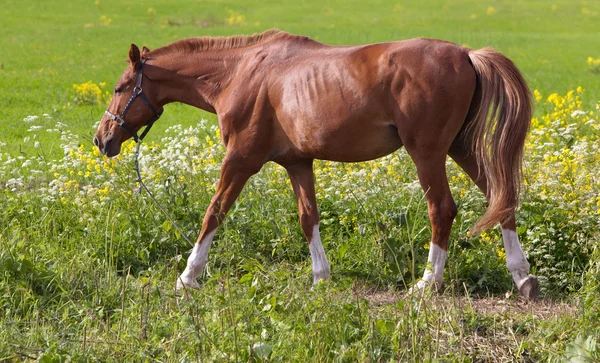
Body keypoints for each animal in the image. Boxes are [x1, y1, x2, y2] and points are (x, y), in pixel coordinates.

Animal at [95, 29, 540, 300]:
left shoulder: (240, 159)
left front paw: (188, 276)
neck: (241, 73)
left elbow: (214, 212)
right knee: (502, 198)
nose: (102, 138)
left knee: (443, 209)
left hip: (428, 153)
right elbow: (308, 217)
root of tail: (466, 54)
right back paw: (522, 276)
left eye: (120, 88)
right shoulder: (298, 163)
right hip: (459, 150)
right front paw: (321, 277)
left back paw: (428, 282)